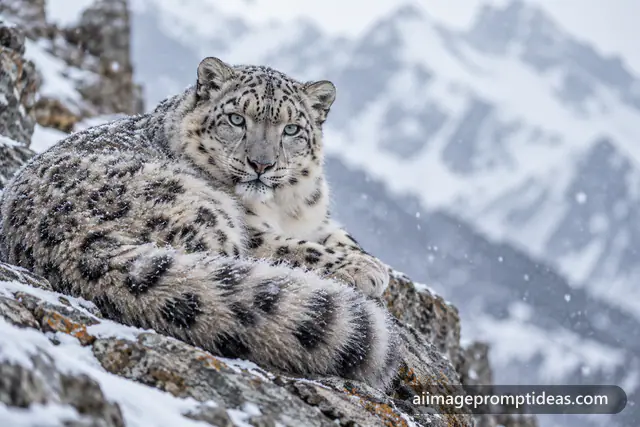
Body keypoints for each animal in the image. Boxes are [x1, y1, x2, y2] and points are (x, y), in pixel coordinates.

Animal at [0, 57, 399, 388]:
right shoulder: (256, 231)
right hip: (200, 210)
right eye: (236, 118)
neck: (285, 207)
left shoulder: (317, 218)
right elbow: (296, 247)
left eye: (291, 130)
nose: (261, 164)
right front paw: (367, 269)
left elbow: (340, 236)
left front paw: (367, 260)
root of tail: (78, 248)